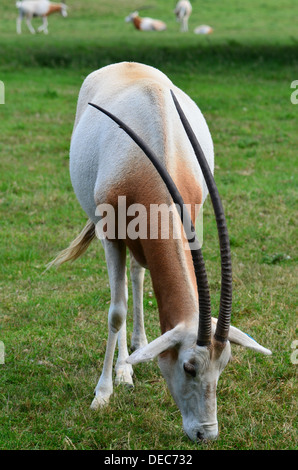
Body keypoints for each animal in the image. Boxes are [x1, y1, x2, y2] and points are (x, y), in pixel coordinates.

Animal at [49, 61, 272, 440]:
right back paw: (124, 369)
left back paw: (138, 347)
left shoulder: (192, 223)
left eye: (224, 364)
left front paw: (129, 363)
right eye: (189, 366)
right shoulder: (111, 236)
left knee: (139, 275)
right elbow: (116, 311)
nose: (206, 433)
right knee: (127, 290)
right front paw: (103, 392)